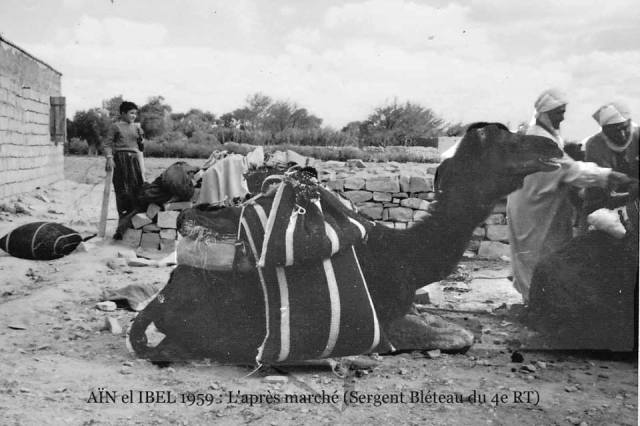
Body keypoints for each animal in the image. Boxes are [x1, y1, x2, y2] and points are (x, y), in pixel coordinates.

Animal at [127, 122, 564, 362]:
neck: (405, 256)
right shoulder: (386, 321)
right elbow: (461, 337)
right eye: (505, 143)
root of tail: (162, 298)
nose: (554, 146)